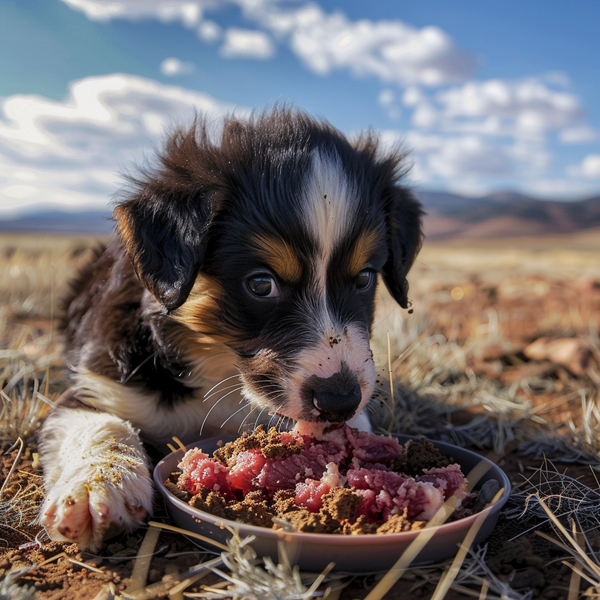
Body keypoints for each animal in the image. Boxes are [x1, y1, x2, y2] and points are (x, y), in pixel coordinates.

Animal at [38, 106, 422, 548]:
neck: (219, 366)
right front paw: (97, 488)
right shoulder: (97, 385)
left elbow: (354, 428)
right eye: (260, 284)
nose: (339, 400)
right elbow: (103, 423)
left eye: (363, 278)